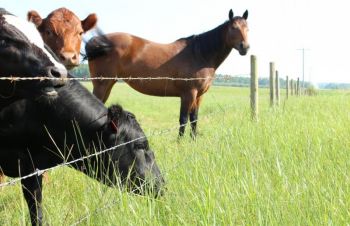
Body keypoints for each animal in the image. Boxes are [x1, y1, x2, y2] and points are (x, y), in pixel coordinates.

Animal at [85, 9, 249, 138]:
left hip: (108, 84)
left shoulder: (199, 96)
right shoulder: (188, 94)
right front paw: (180, 142)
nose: (245, 47)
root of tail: (97, 41)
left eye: (248, 28)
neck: (199, 54)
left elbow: (194, 119)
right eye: (233, 27)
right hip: (101, 84)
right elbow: (183, 119)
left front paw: (193, 141)